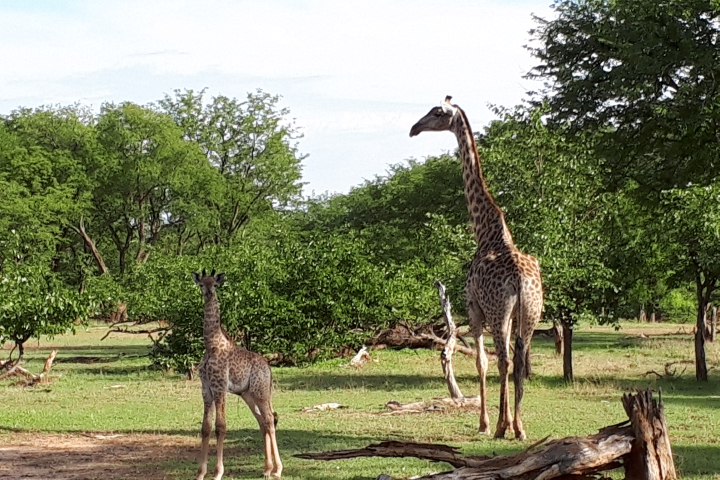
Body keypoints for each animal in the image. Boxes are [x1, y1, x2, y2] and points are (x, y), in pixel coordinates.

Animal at [194, 270, 282, 480]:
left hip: (260, 392)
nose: (208, 293)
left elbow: (220, 426)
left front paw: (218, 473)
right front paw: (200, 473)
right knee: (262, 421)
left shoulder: (219, 387)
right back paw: (266, 469)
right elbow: (205, 427)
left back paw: (278, 469)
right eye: (201, 284)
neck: (211, 345)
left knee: (269, 419)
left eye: (215, 284)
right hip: (248, 395)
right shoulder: (206, 388)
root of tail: (269, 368)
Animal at [408, 96, 544, 438]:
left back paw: (500, 427)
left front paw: (484, 423)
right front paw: (505, 422)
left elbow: (481, 361)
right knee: (519, 360)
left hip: (498, 314)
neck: (485, 230)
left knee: (504, 360)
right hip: (531, 314)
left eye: (437, 112)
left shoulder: (474, 308)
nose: (414, 128)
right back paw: (519, 427)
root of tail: (520, 280)